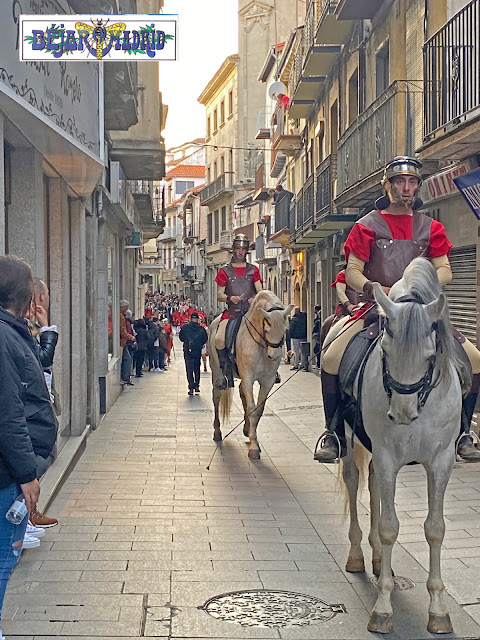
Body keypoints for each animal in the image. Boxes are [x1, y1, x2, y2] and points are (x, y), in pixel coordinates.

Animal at [209, 290, 292, 460]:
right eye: (267, 329)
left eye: (285, 330)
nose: (275, 356)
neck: (260, 343)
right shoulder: (248, 377)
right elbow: (252, 407)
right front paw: (254, 447)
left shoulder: (267, 381)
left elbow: (258, 409)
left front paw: (252, 436)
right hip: (216, 373)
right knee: (216, 398)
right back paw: (217, 432)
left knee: (242, 395)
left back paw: (246, 428)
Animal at [338, 256, 464, 636]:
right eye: (385, 350)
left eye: (430, 354)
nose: (403, 414)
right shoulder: (387, 455)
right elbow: (389, 527)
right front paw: (382, 609)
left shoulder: (441, 461)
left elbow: (435, 529)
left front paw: (438, 610)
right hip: (350, 441)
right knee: (355, 481)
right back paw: (358, 557)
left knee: (376, 487)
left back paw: (380, 560)